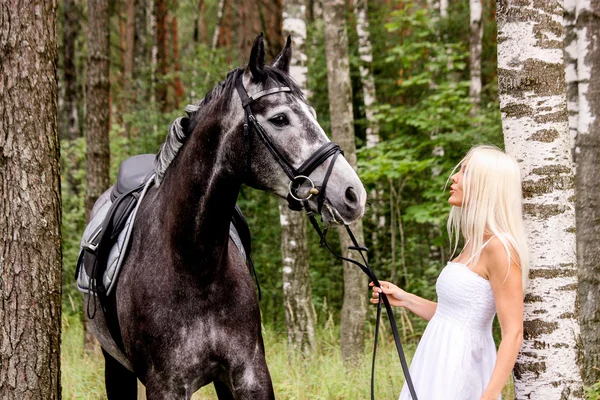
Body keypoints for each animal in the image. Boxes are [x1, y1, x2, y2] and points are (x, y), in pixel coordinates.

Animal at [82, 35, 366, 400]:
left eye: (313, 114)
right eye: (280, 119)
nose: (353, 193)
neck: (194, 265)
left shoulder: (250, 376)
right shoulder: (165, 387)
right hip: (114, 365)